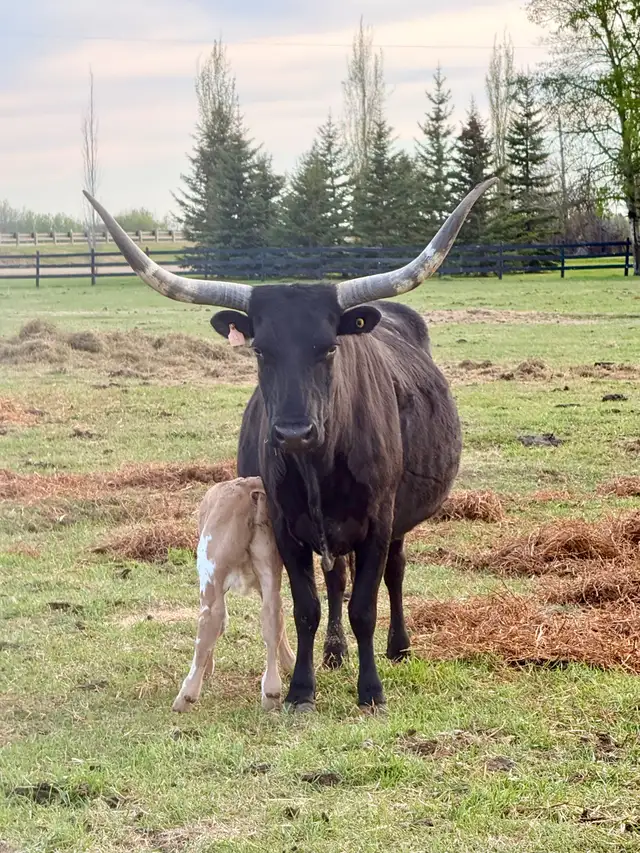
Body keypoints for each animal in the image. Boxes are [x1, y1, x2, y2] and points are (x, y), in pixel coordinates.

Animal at [172, 476, 295, 712]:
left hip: (211, 571)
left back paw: (186, 696)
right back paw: (272, 692)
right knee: (273, 616)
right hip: (269, 565)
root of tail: (250, 488)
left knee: (211, 622)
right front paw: (290, 662)